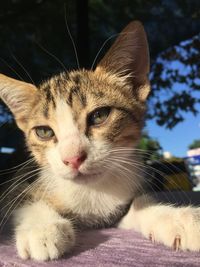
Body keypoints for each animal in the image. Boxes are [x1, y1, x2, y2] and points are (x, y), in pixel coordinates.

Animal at [0, 20, 199, 262]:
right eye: (44, 131)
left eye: (99, 115)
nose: (73, 158)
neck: (93, 192)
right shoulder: (15, 185)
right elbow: (22, 201)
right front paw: (42, 228)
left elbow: (139, 204)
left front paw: (177, 218)